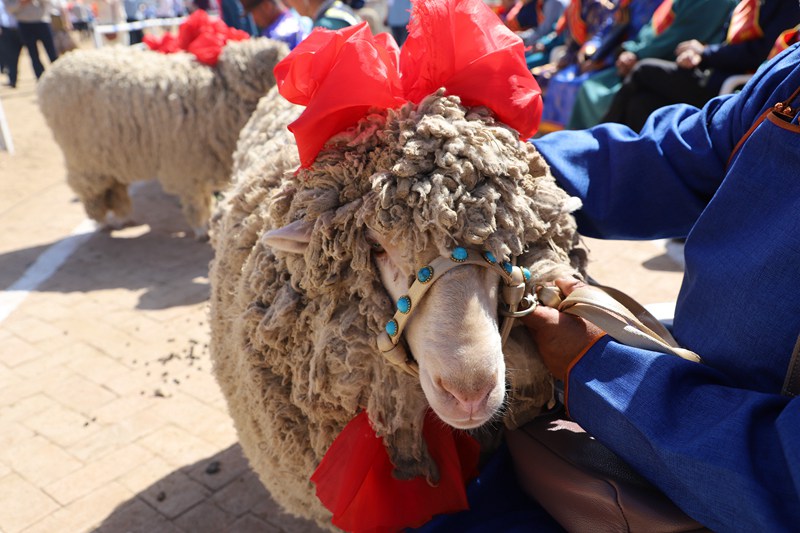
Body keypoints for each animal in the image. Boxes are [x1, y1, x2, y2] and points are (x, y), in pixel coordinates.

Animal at [37, 37, 289, 239]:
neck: (222, 90)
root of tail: (56, 67)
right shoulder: (188, 164)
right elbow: (196, 201)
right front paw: (201, 231)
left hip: (109, 153)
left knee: (115, 187)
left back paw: (124, 217)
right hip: (82, 157)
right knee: (91, 192)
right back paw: (102, 222)